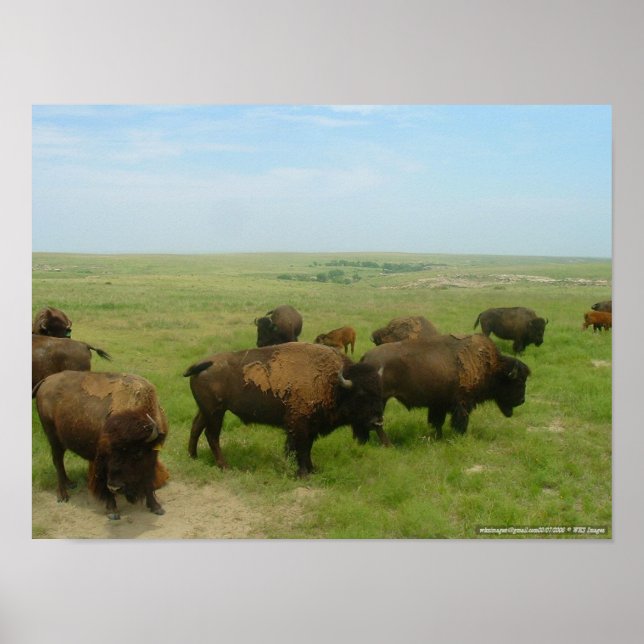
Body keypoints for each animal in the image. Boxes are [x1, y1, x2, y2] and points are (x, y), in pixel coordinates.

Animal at [33, 371, 169, 520]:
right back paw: (62, 495)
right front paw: (113, 510)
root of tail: (46, 380)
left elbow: (148, 479)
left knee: (60, 462)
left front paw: (156, 507)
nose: (115, 488)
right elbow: (103, 480)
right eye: (110, 451)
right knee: (57, 461)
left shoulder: (151, 458)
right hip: (53, 439)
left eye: (137, 453)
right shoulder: (102, 460)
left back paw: (70, 483)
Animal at [183, 342, 386, 477]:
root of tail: (203, 363)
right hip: (216, 412)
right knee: (212, 435)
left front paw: (312, 469)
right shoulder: (299, 425)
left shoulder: (310, 427)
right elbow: (300, 448)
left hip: (206, 411)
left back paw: (193, 457)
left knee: (196, 428)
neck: (333, 384)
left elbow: (307, 448)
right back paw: (225, 466)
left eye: (380, 395)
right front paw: (303, 473)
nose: (377, 421)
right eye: (360, 395)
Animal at [361, 334, 530, 439]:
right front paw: (459, 436)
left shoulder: (439, 404)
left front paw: (438, 437)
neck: (491, 366)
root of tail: (365, 358)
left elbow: (437, 422)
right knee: (375, 423)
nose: (522, 400)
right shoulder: (462, 404)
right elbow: (459, 422)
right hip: (380, 400)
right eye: (518, 382)